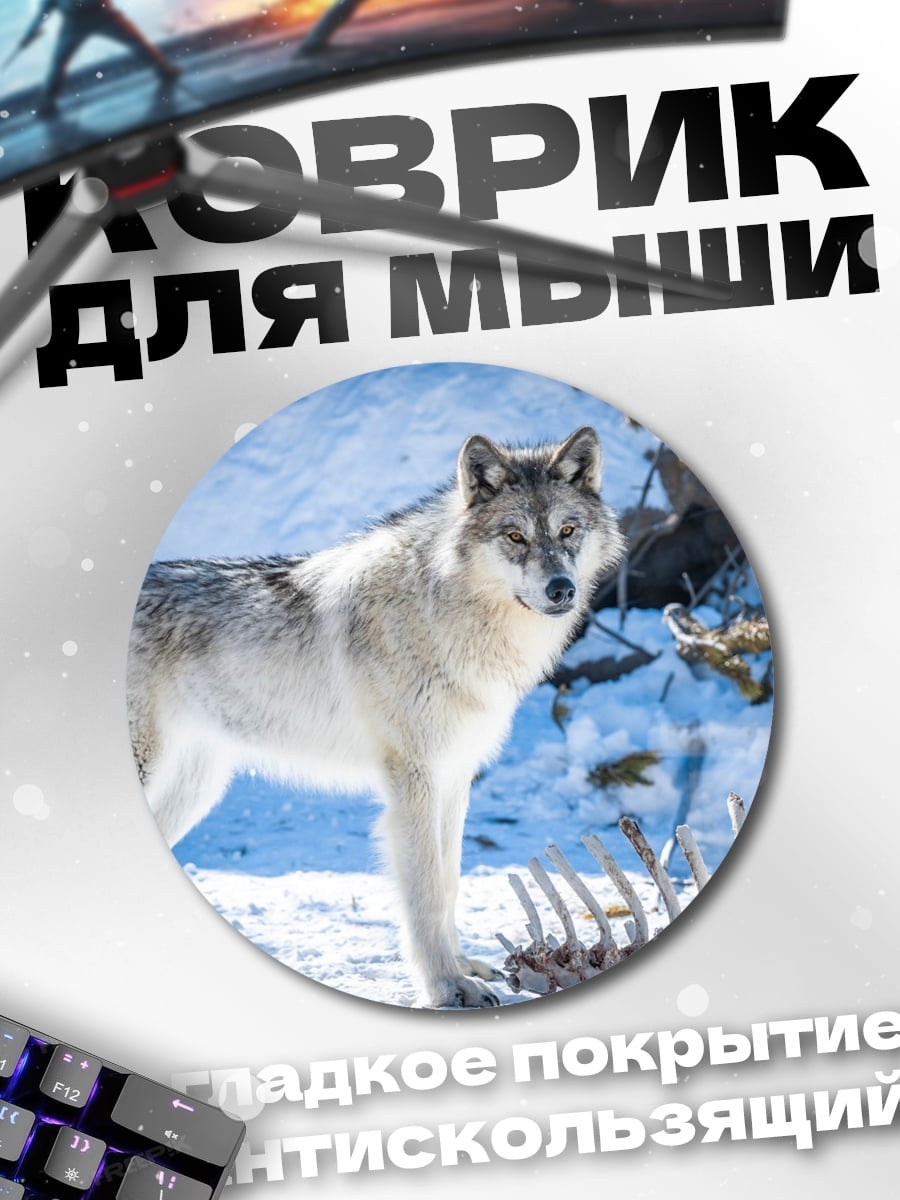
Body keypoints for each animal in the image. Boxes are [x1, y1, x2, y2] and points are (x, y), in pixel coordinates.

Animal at [127, 426, 625, 1007]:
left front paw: (463, 968)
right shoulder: (413, 779)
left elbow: (450, 881)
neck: (448, 616)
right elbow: (426, 891)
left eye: (567, 530)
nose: (561, 589)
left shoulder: (454, 777)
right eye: (515, 537)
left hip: (195, 790)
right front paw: (447, 988)